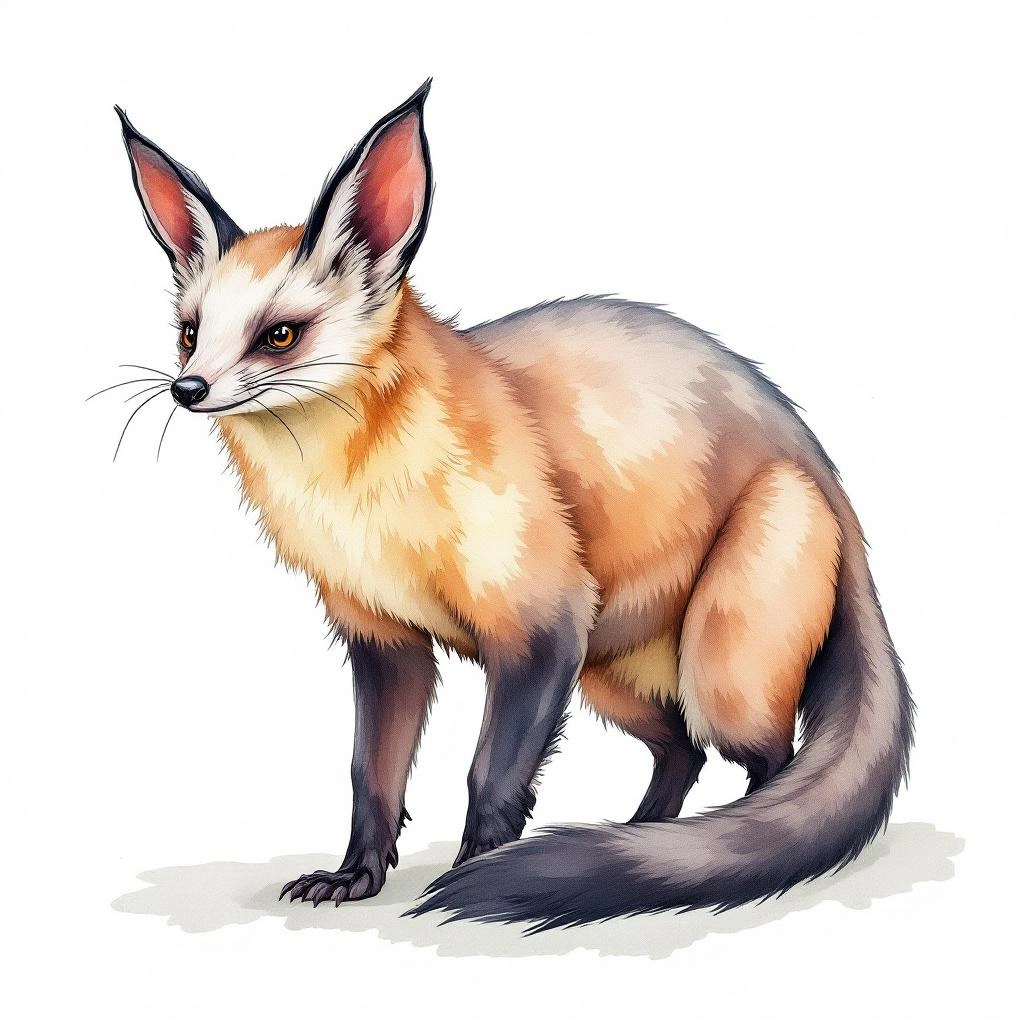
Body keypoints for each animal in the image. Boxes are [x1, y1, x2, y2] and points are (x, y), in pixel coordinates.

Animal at [114, 80, 913, 931]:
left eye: (279, 335)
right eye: (190, 333)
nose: (188, 388)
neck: (363, 513)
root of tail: (819, 463)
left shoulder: (542, 623)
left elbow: (490, 777)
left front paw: (471, 874)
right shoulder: (385, 639)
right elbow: (372, 777)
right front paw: (354, 876)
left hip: (716, 664)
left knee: (770, 762)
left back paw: (716, 859)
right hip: (609, 673)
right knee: (681, 748)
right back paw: (640, 838)